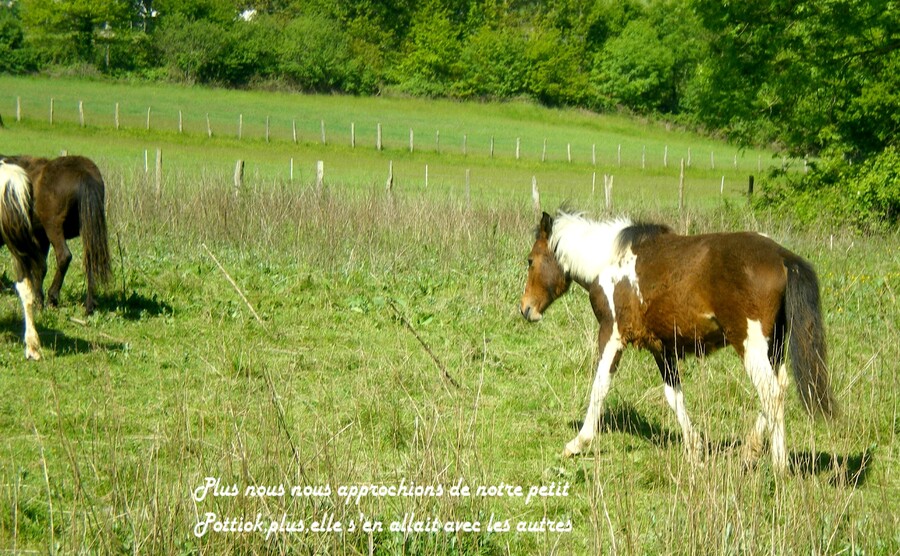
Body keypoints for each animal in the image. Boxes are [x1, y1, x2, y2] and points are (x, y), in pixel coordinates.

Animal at [0, 154, 110, 314]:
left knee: (64, 256)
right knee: (90, 259)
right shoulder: (40, 238)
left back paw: (52, 297)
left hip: (53, 228)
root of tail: (84, 174)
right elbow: (40, 267)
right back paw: (89, 305)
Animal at [520, 211, 836, 472]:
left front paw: (577, 443)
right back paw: (750, 451)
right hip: (774, 347)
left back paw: (779, 465)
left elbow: (600, 386)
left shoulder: (611, 335)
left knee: (770, 393)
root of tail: (782, 256)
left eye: (530, 261)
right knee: (779, 389)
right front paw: (694, 448)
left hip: (752, 346)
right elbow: (674, 396)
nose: (525, 309)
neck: (608, 261)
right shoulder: (662, 347)